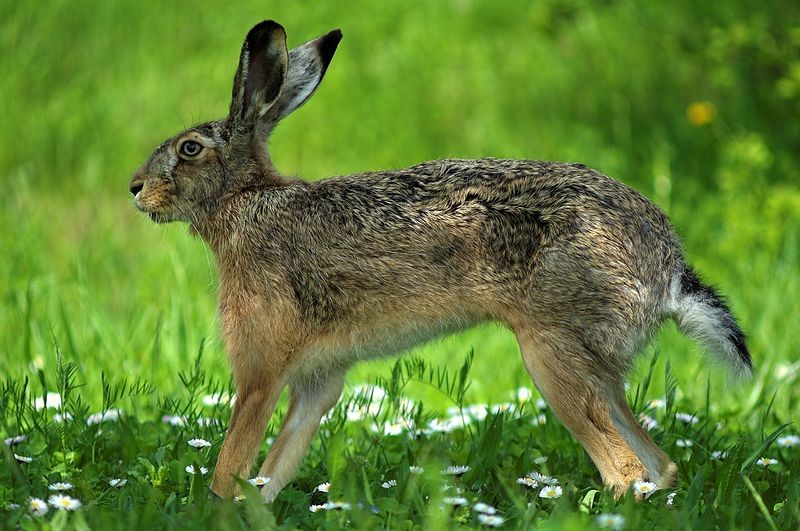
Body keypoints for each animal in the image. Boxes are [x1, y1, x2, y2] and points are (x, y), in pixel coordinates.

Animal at [129, 20, 751, 502]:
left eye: (189, 149)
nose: (135, 189)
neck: (243, 199)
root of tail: (665, 268)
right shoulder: (317, 382)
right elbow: (273, 469)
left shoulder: (260, 369)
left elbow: (232, 466)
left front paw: (216, 506)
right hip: (599, 369)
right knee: (659, 466)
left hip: (552, 351)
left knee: (625, 472)